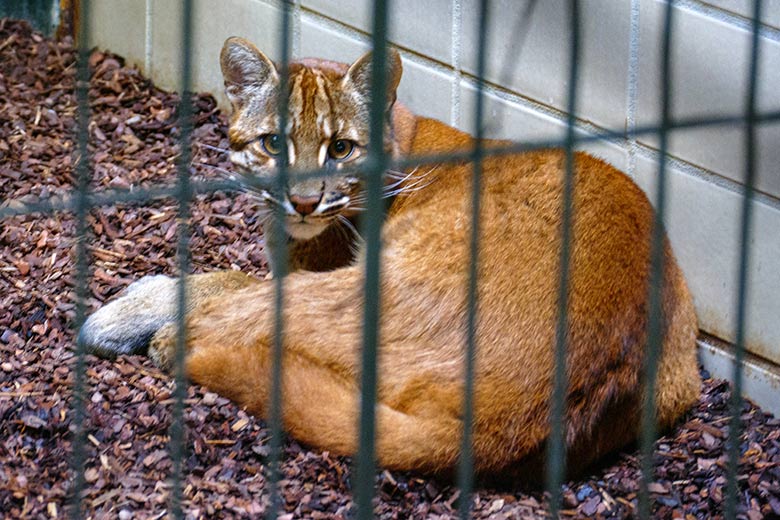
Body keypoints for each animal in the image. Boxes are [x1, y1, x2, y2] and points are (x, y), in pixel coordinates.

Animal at [82, 36, 704, 480]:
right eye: (273, 143)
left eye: (340, 148)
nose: (303, 201)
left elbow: (229, 278)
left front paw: (126, 311)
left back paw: (160, 337)